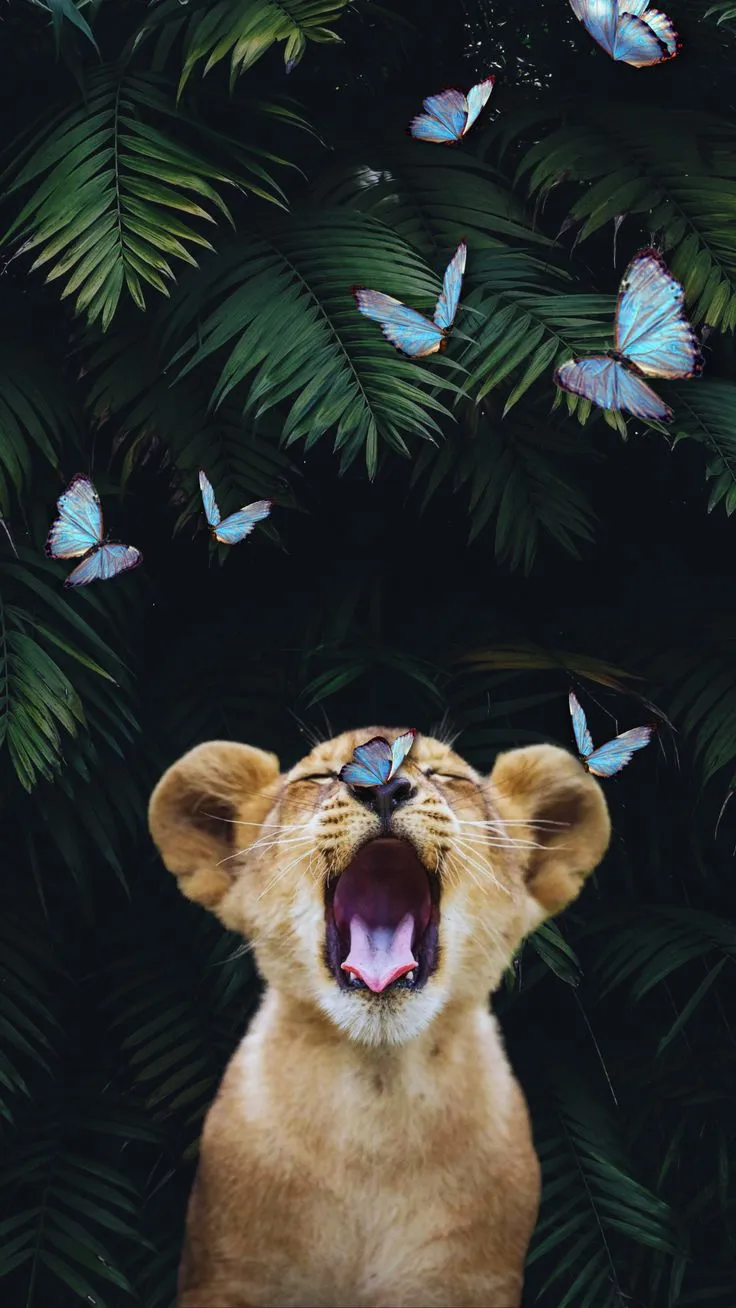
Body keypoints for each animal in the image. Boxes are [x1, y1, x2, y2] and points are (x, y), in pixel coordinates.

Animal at [148, 727, 611, 1308]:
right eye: (318, 777)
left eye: (445, 775)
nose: (386, 788)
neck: (378, 1092)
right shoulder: (227, 1275)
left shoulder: (470, 1282)